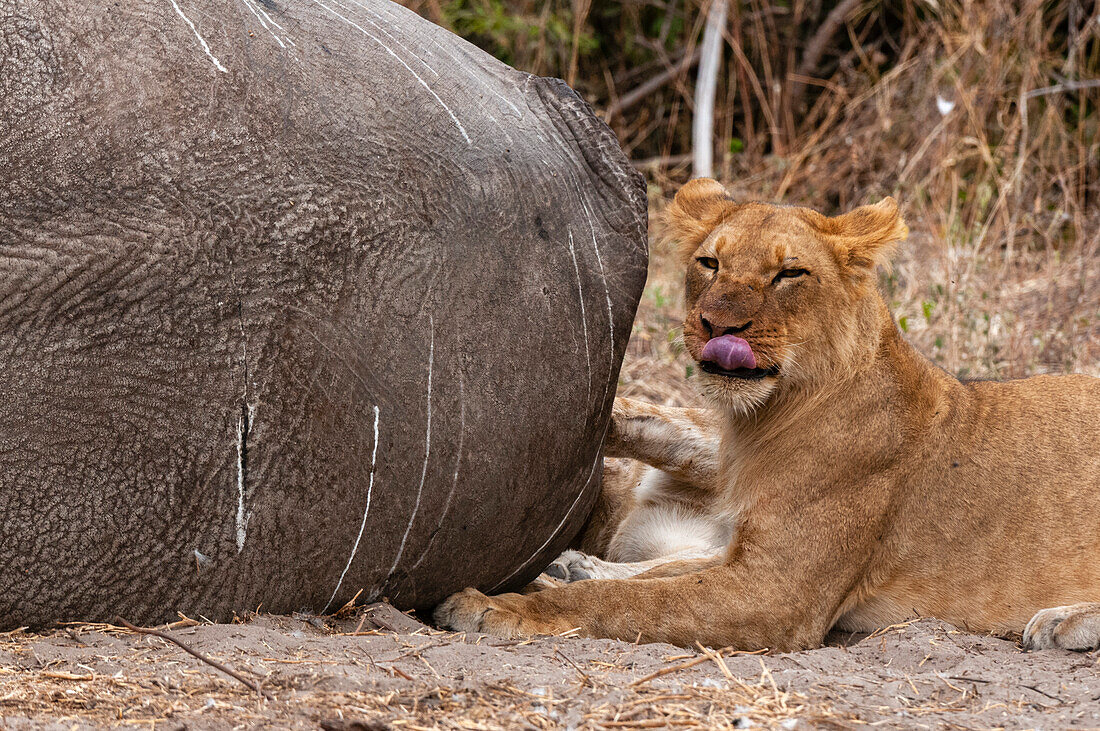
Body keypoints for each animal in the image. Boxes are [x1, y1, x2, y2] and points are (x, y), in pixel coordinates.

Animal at [433, 179, 1100, 650]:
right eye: (710, 263)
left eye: (789, 273)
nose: (718, 326)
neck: (766, 420)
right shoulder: (744, 544)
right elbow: (656, 574)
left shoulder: (776, 593)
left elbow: (632, 605)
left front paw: (495, 607)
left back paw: (1062, 621)